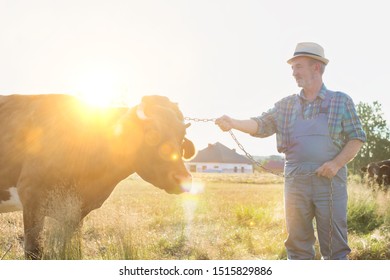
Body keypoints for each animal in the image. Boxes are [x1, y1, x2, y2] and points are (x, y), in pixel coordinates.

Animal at [0, 93, 195, 258]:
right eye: (152, 133)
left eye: (182, 136)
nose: (183, 179)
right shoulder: (32, 198)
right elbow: (34, 252)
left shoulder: (74, 214)